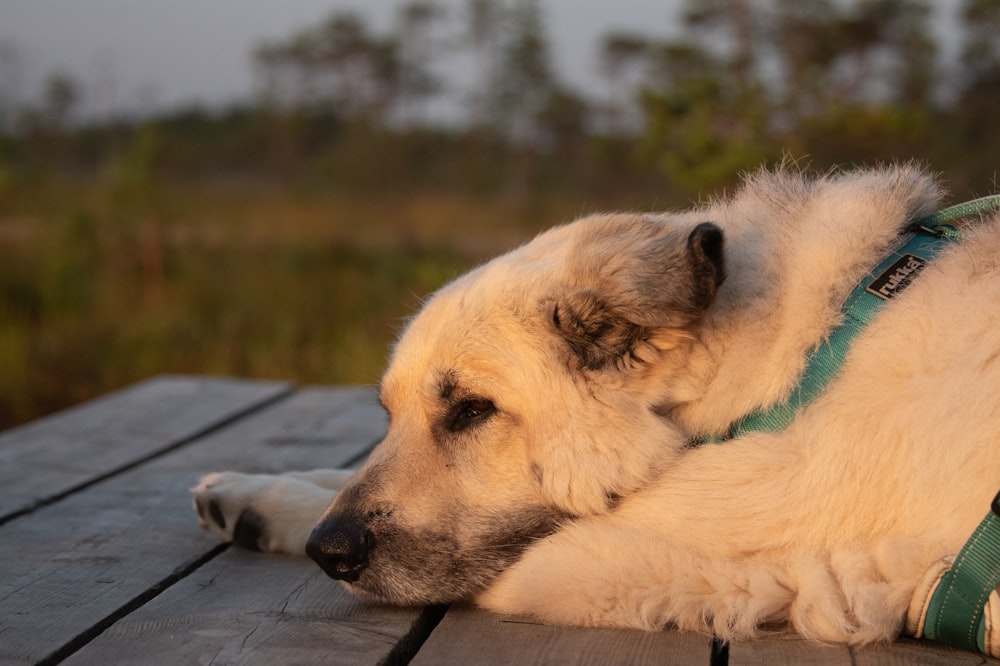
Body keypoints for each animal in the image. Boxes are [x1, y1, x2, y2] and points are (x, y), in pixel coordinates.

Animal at [191, 163, 996, 652]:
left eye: (472, 412)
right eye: (389, 415)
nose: (330, 552)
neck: (799, 358)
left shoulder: (677, 558)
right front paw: (253, 494)